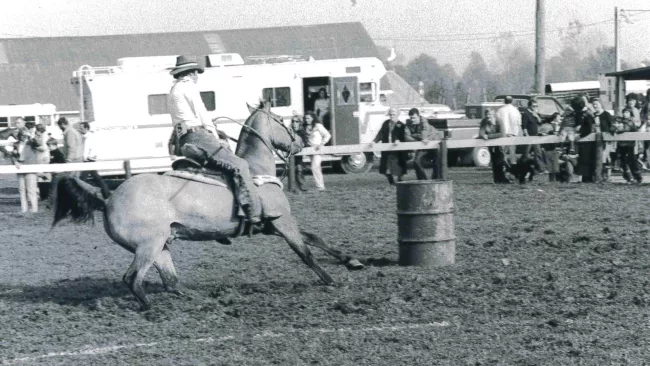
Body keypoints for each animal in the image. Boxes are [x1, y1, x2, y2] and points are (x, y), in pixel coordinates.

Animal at [52, 101, 362, 310]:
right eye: (281, 120)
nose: (300, 142)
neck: (257, 171)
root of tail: (109, 198)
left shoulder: (273, 225)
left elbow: (315, 238)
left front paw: (352, 261)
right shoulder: (282, 221)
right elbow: (305, 252)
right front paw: (330, 280)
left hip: (160, 246)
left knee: (170, 282)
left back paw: (193, 298)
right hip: (148, 246)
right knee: (132, 279)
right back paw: (150, 310)